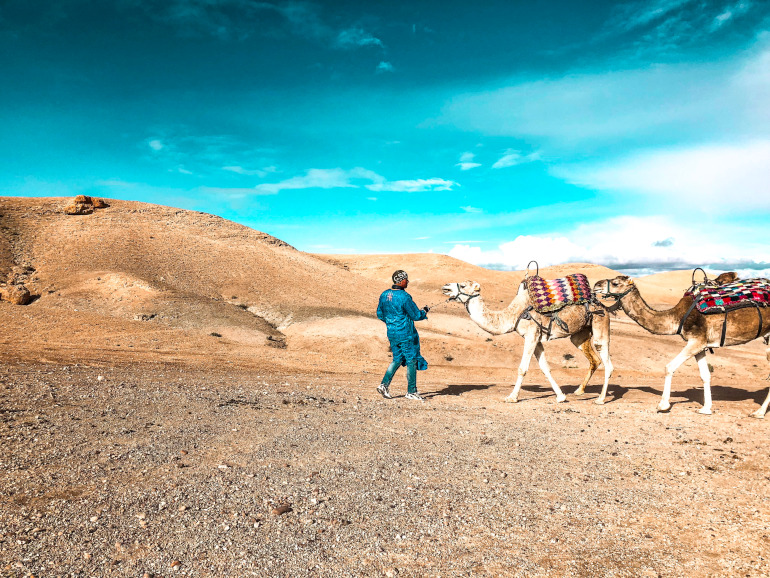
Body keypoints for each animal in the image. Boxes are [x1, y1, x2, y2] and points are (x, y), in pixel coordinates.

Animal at [592, 274, 768, 414]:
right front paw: (706, 408)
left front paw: (663, 405)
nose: (596, 285)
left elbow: (669, 367)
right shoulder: (700, 345)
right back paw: (759, 412)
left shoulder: (696, 340)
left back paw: (759, 412)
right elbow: (705, 375)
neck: (678, 316)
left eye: (616, 283)